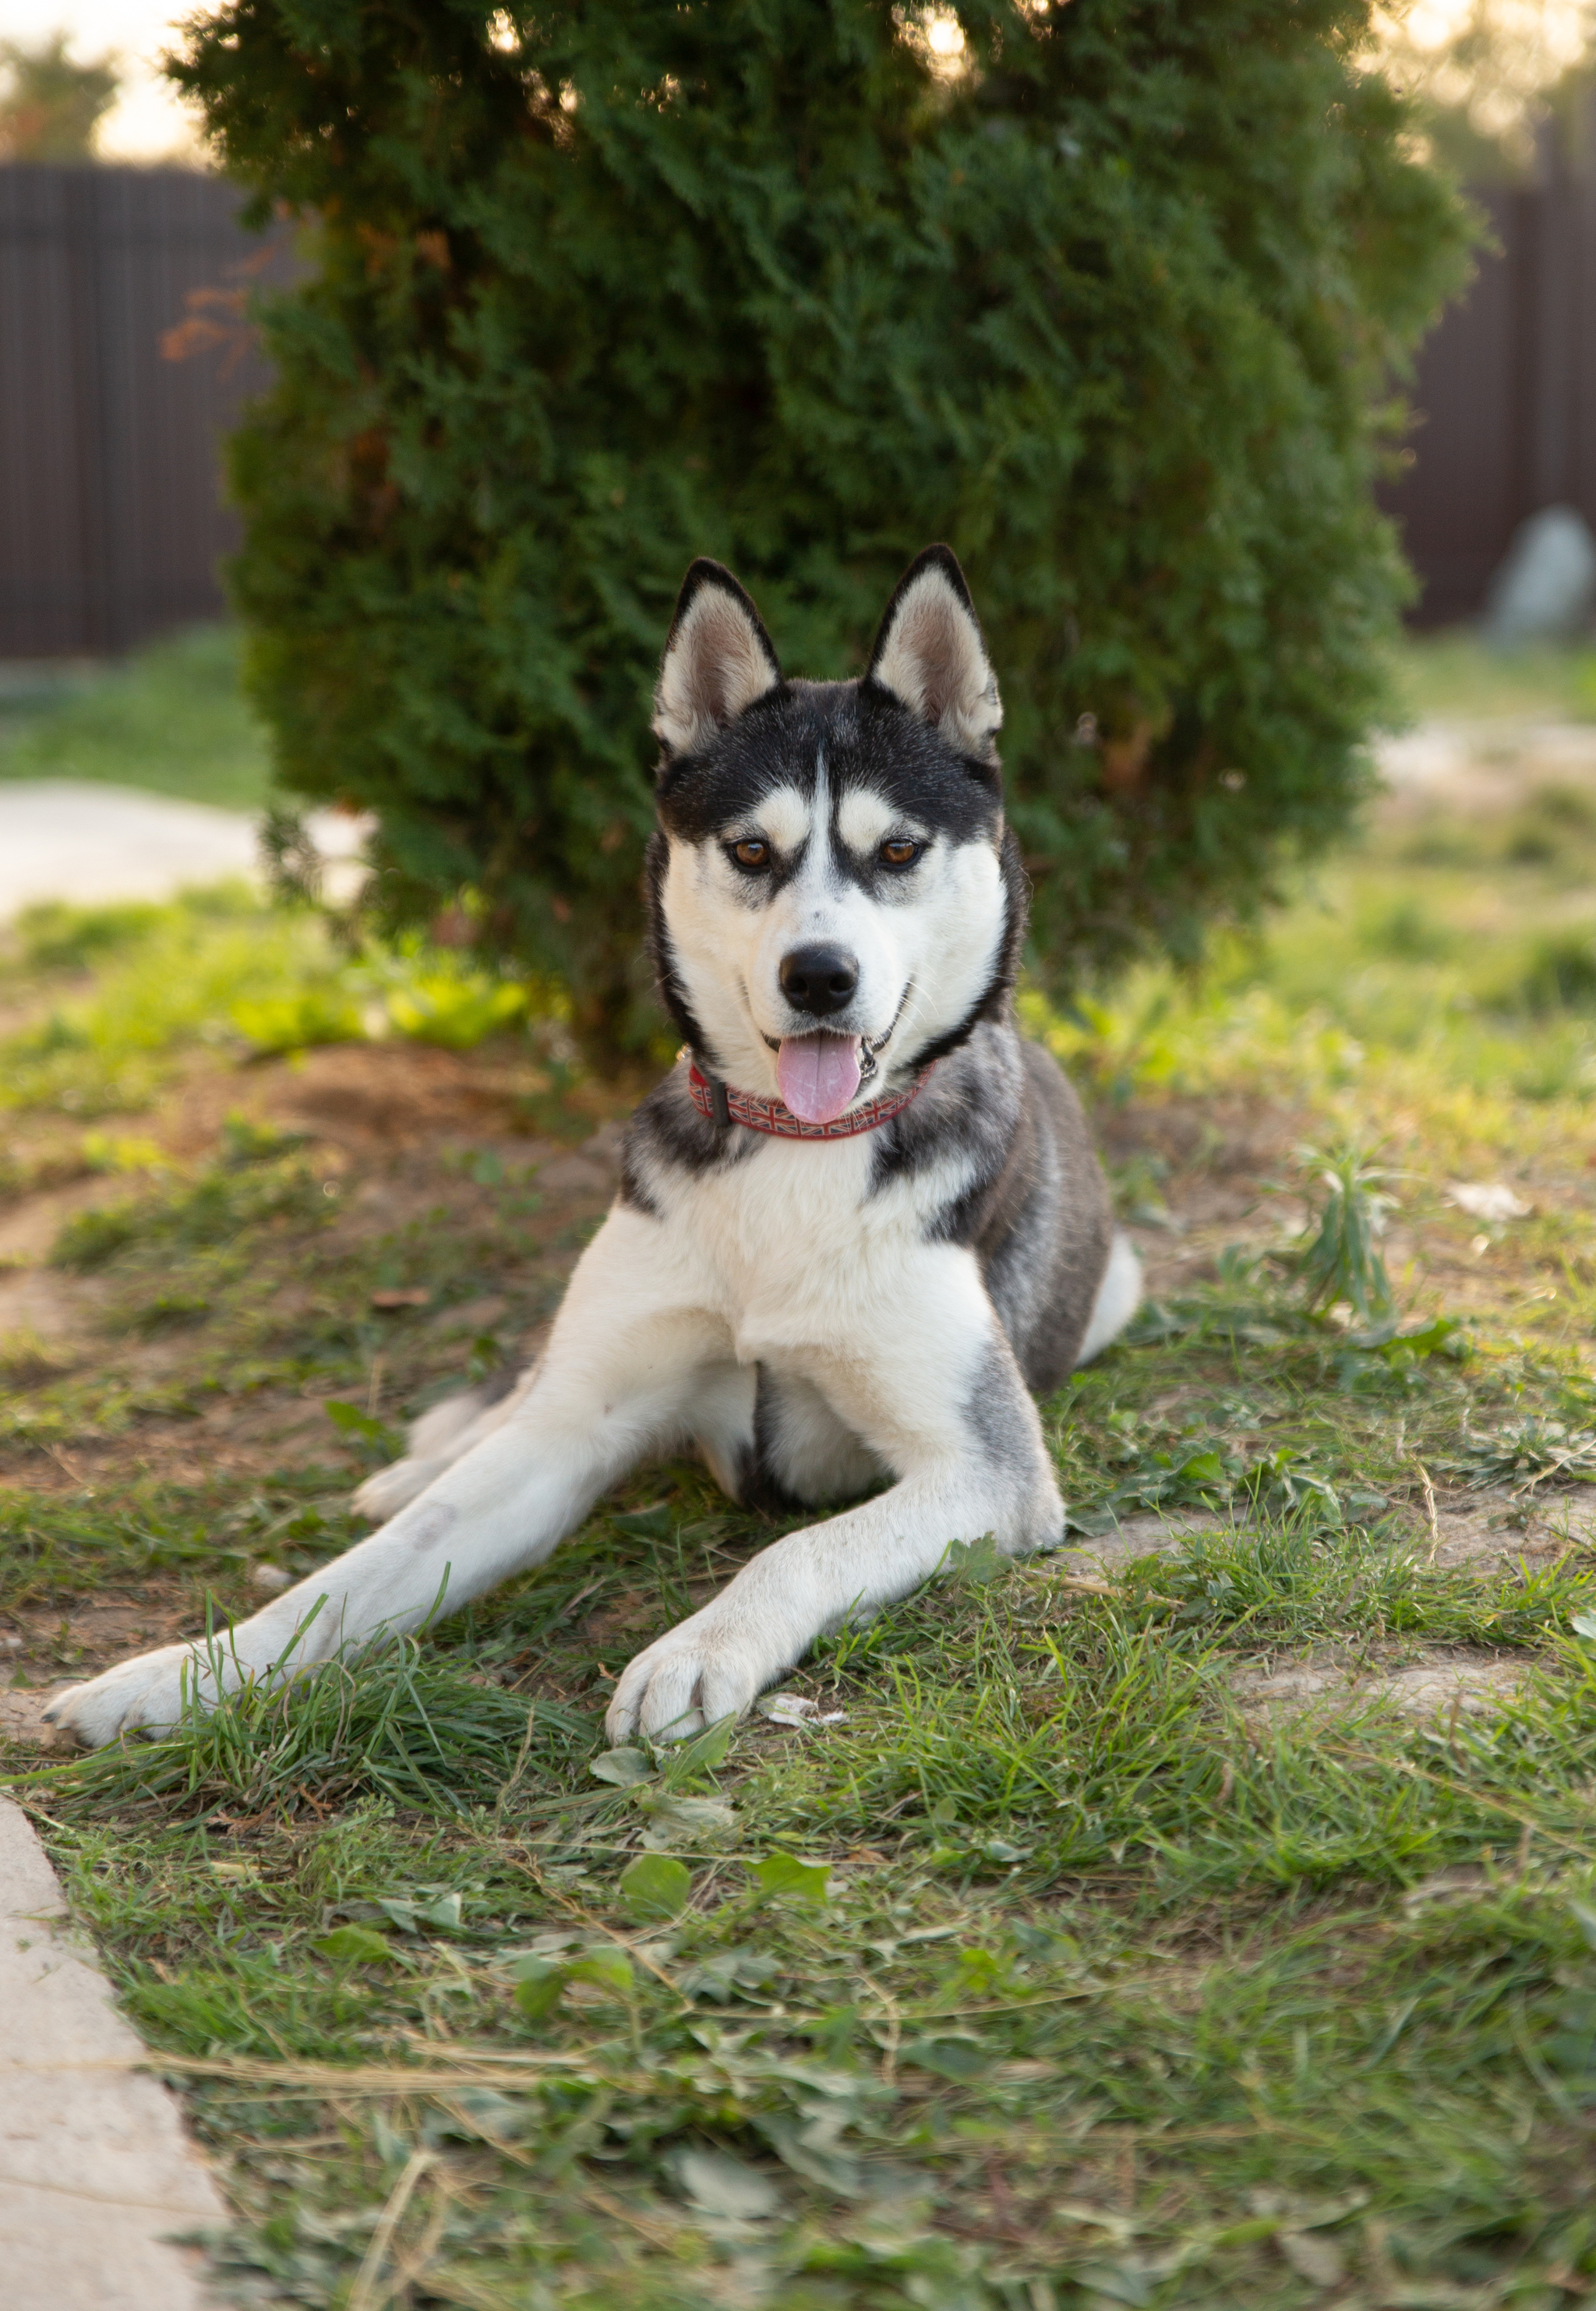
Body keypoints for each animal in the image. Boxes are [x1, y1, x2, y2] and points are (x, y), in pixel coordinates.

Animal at [43, 545, 1141, 1747]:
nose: (818, 977)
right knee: (506, 1402)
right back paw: (416, 1464)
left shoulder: (984, 1474)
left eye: (896, 848)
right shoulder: (576, 1423)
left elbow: (799, 1548)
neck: (794, 1152)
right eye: (750, 849)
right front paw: (183, 1673)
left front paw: (697, 1650)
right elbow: (355, 1577)